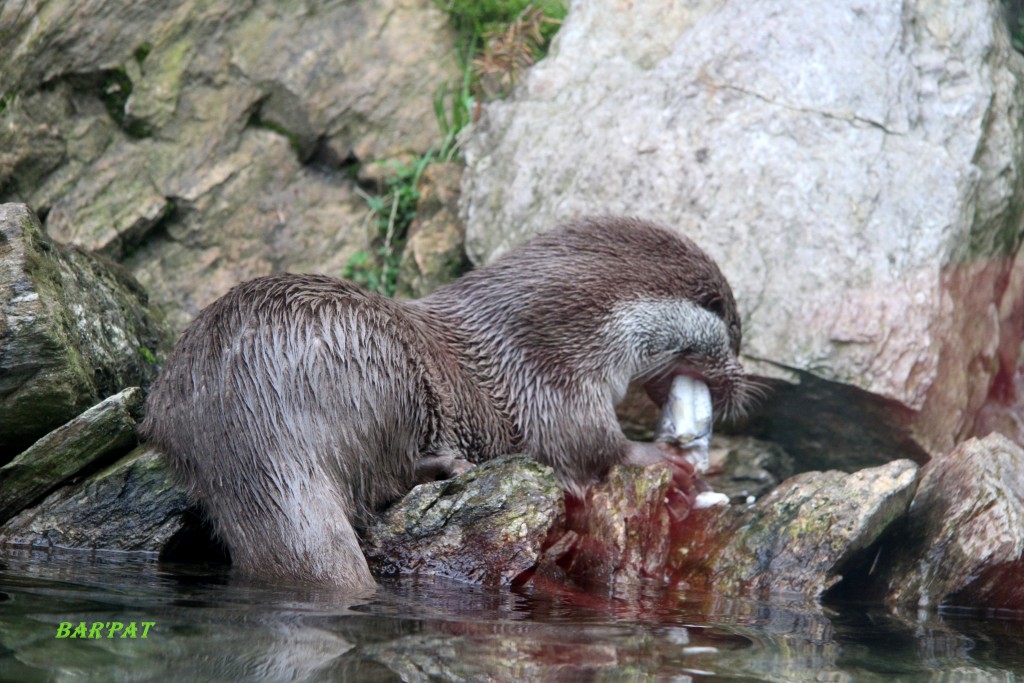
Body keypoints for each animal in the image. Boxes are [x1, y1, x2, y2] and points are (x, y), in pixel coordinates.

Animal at [142, 218, 753, 589]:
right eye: (732, 330)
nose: (742, 381)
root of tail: (252, 409)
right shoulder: (553, 380)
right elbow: (586, 446)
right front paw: (664, 459)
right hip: (383, 371)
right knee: (376, 483)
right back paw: (444, 465)